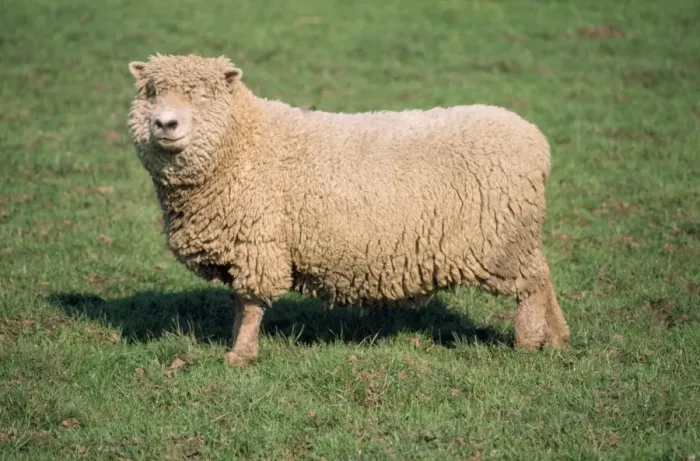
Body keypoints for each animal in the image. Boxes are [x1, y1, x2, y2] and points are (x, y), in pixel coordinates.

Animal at [126, 54, 570, 367]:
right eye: (151, 92)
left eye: (203, 94)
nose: (164, 124)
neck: (243, 143)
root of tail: (536, 141)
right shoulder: (244, 247)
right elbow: (239, 302)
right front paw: (236, 341)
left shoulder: (259, 243)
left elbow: (250, 304)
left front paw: (241, 354)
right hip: (517, 236)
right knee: (544, 274)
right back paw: (557, 338)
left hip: (502, 240)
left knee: (531, 287)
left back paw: (527, 343)